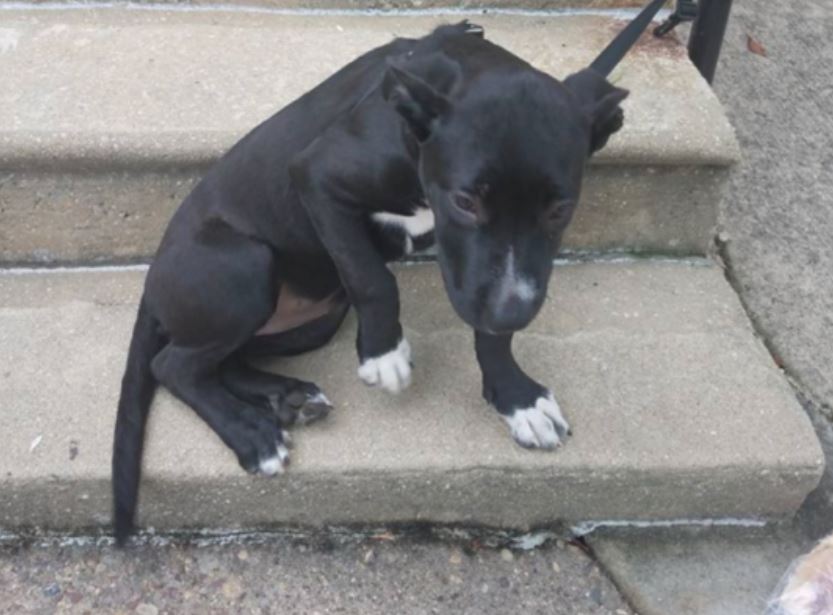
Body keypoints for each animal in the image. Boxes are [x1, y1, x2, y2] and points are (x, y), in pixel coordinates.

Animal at [114, 1, 668, 548]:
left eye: (559, 210)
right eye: (464, 202)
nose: (513, 310)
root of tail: (152, 284)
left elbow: (490, 336)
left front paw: (516, 397)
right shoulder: (317, 178)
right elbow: (373, 279)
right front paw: (384, 353)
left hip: (313, 322)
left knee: (219, 360)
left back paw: (288, 398)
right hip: (246, 268)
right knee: (173, 365)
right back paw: (251, 433)